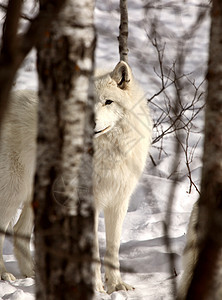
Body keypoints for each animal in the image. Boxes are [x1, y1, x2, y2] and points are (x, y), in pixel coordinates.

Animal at [0, 61, 153, 292]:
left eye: (108, 102)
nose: (91, 124)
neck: (106, 151)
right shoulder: (88, 202)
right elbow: (94, 250)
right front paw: (96, 288)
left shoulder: (119, 201)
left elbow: (113, 248)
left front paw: (116, 285)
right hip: (11, 193)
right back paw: (4, 274)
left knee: (19, 231)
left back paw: (33, 274)